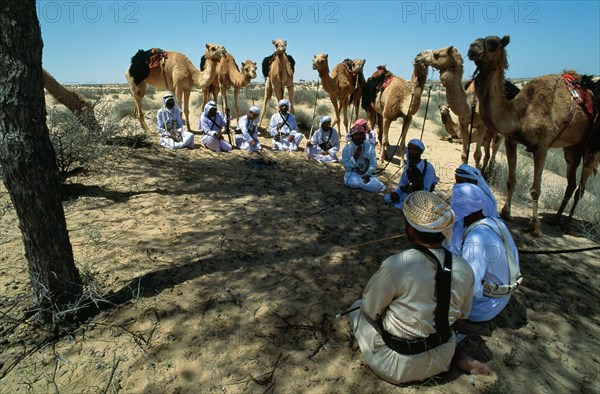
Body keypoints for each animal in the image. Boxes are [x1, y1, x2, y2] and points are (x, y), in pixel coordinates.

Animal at [466, 35, 592, 235]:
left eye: (494, 44)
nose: (473, 47)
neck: (520, 112)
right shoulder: (511, 141)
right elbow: (510, 180)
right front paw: (506, 212)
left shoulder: (542, 147)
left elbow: (535, 189)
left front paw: (535, 227)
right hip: (572, 148)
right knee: (571, 183)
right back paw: (556, 219)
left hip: (592, 148)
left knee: (582, 186)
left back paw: (568, 224)